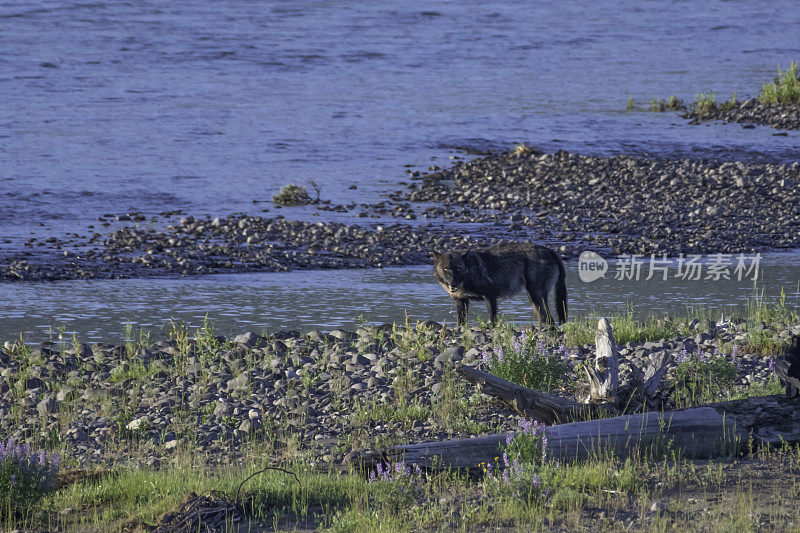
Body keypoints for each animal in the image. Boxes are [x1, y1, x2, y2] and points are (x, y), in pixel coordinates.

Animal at [432, 241, 568, 324]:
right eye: (446, 269)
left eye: (458, 268)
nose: (452, 283)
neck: (469, 271)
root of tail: (551, 252)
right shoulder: (461, 301)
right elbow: (461, 322)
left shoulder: (490, 296)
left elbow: (492, 318)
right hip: (534, 299)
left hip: (536, 296)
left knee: (549, 319)